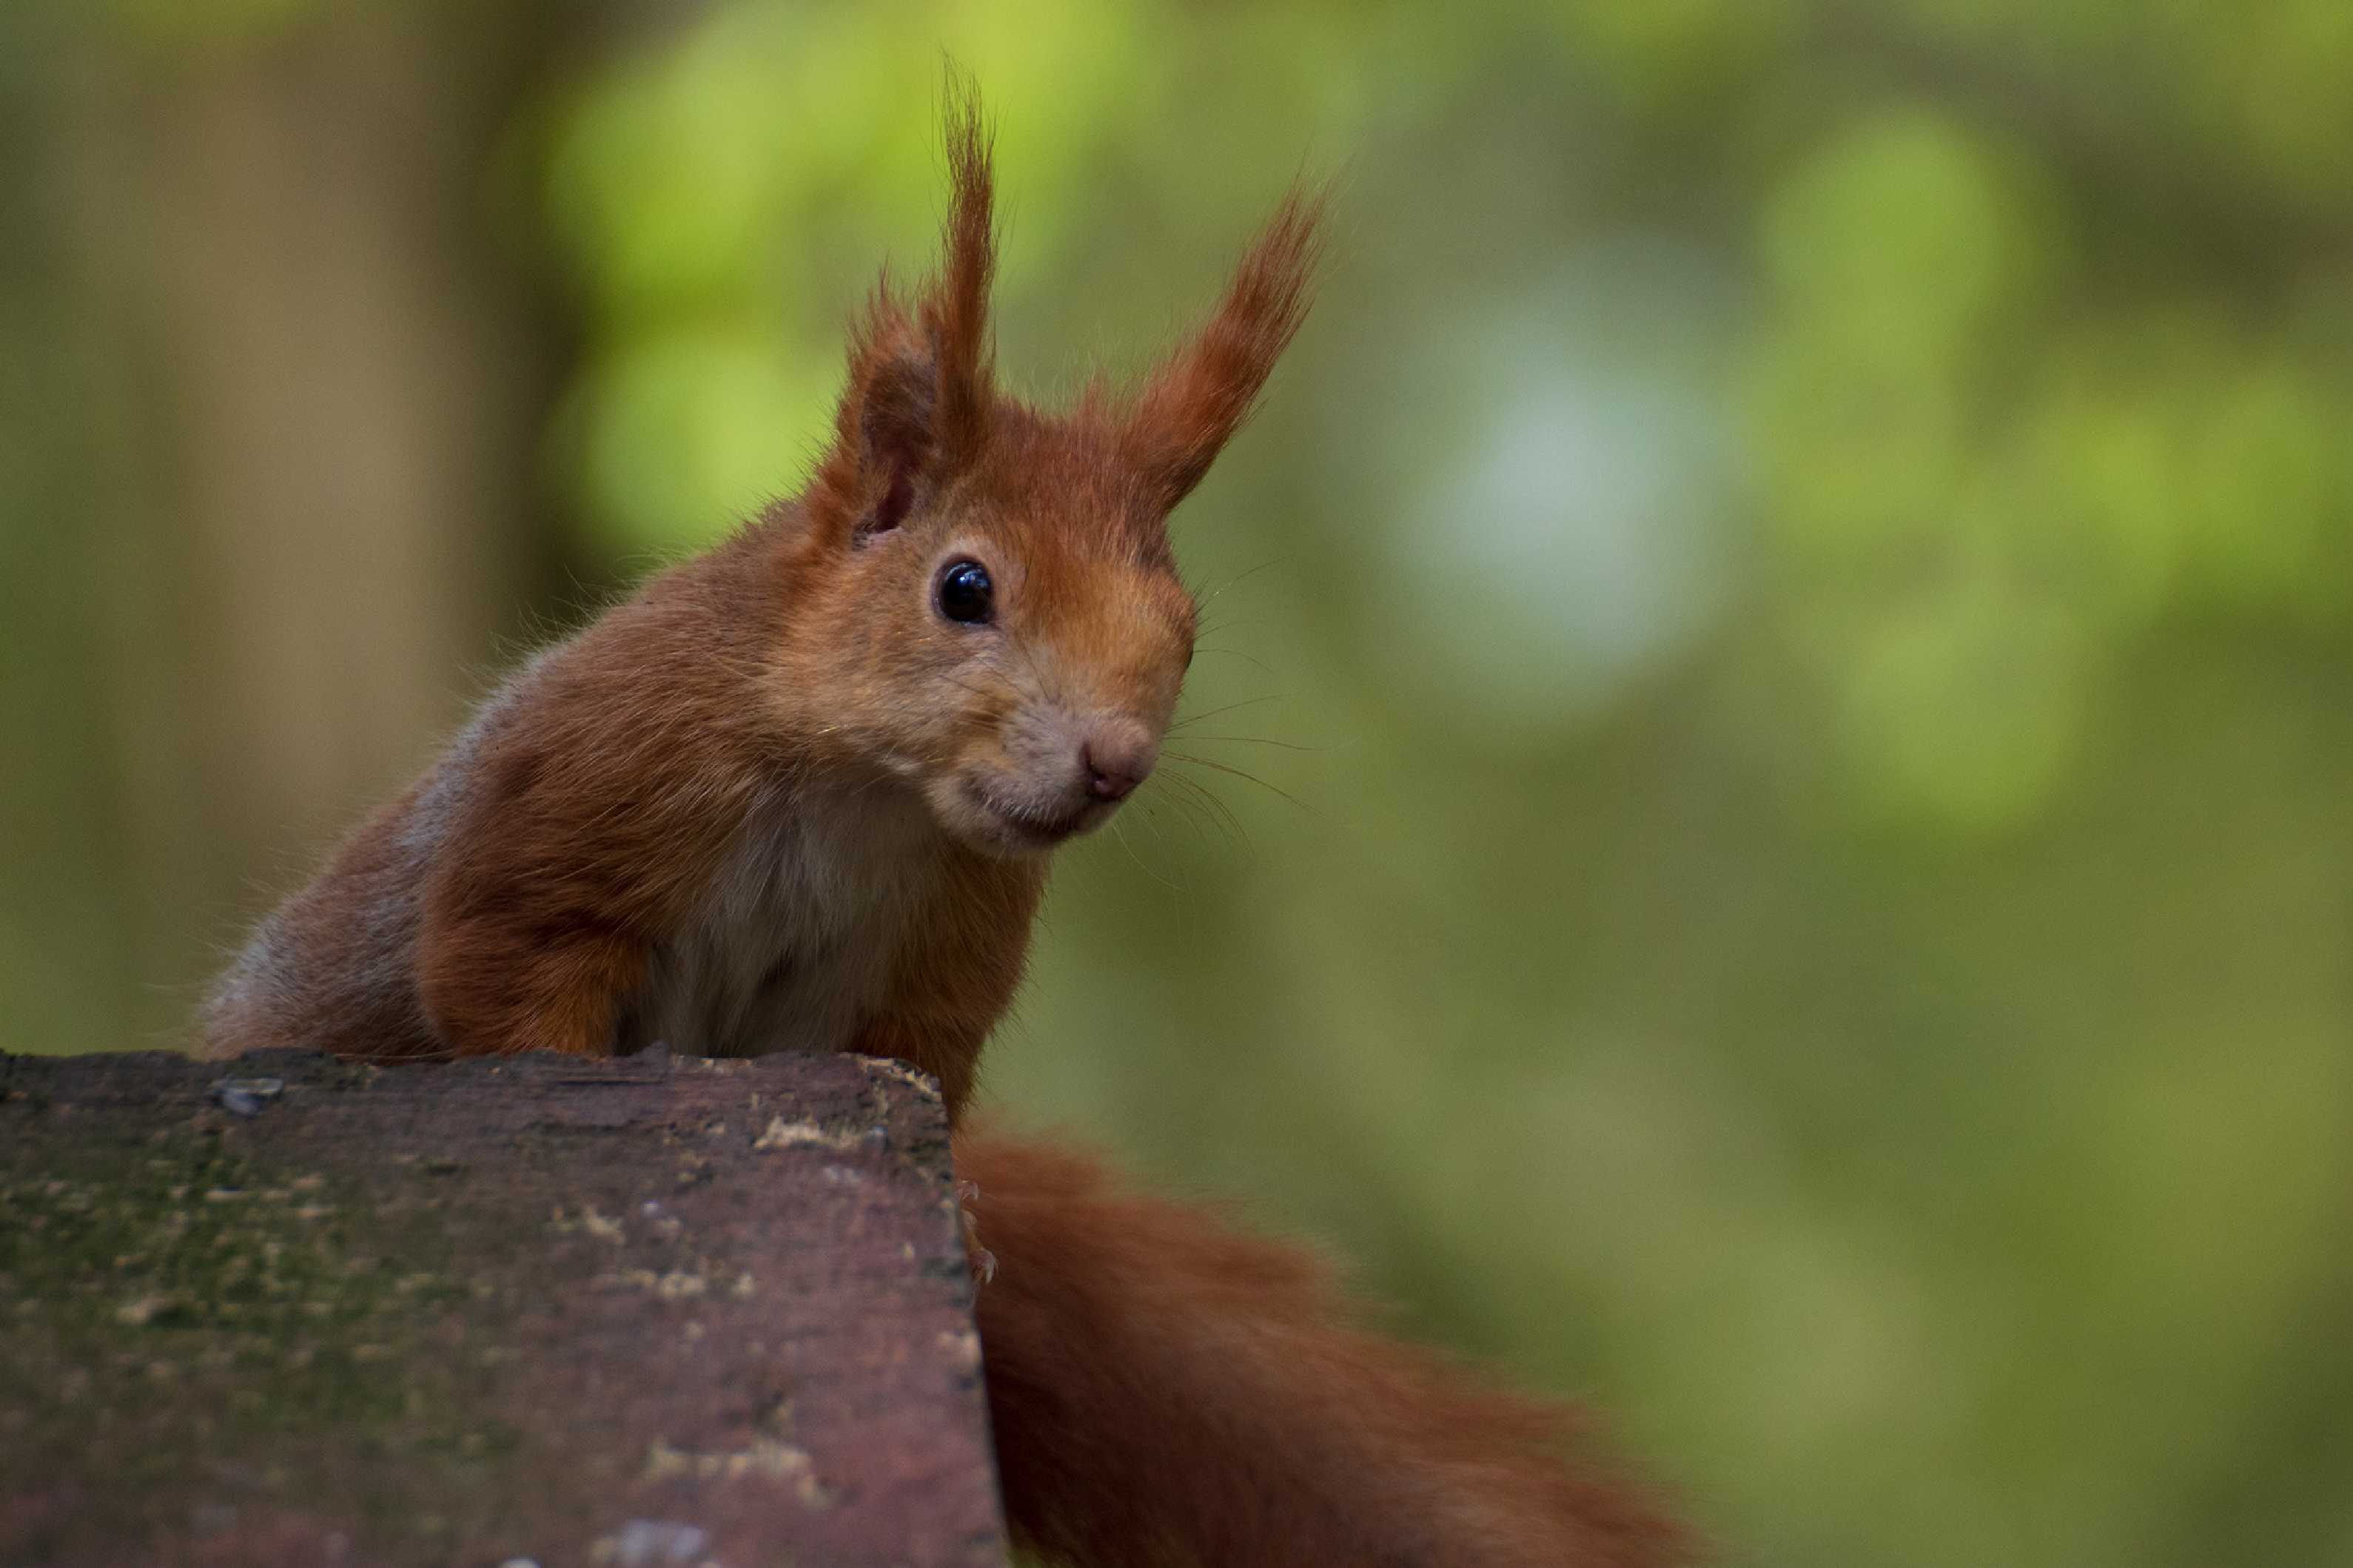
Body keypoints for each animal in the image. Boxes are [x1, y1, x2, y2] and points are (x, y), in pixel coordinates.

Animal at [198, 95, 1675, 1568]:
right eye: (963, 587)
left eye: (1185, 633)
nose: (1113, 763)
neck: (864, 796)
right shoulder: (574, 803)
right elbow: (505, 975)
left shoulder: (935, 954)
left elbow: (914, 1073)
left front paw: (959, 1230)